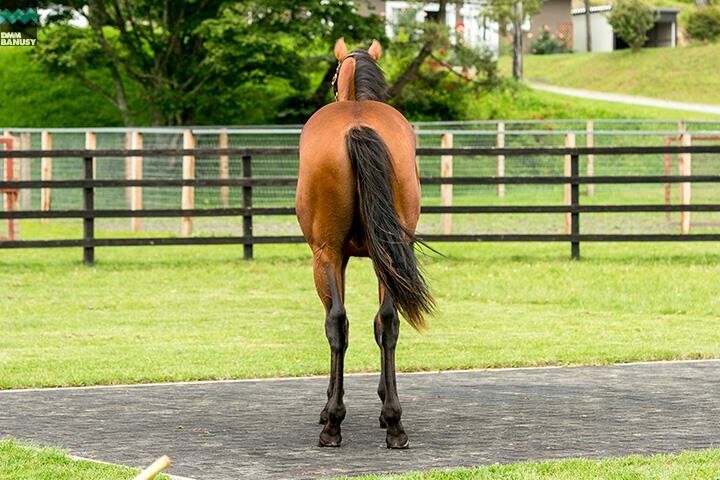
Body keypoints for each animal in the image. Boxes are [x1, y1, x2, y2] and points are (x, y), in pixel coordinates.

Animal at [296, 38, 434, 450]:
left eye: (332, 77)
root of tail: (357, 124)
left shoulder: (334, 257)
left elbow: (336, 322)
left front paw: (329, 406)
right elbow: (381, 322)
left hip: (325, 254)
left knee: (336, 323)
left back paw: (332, 425)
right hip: (390, 249)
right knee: (389, 322)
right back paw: (395, 425)